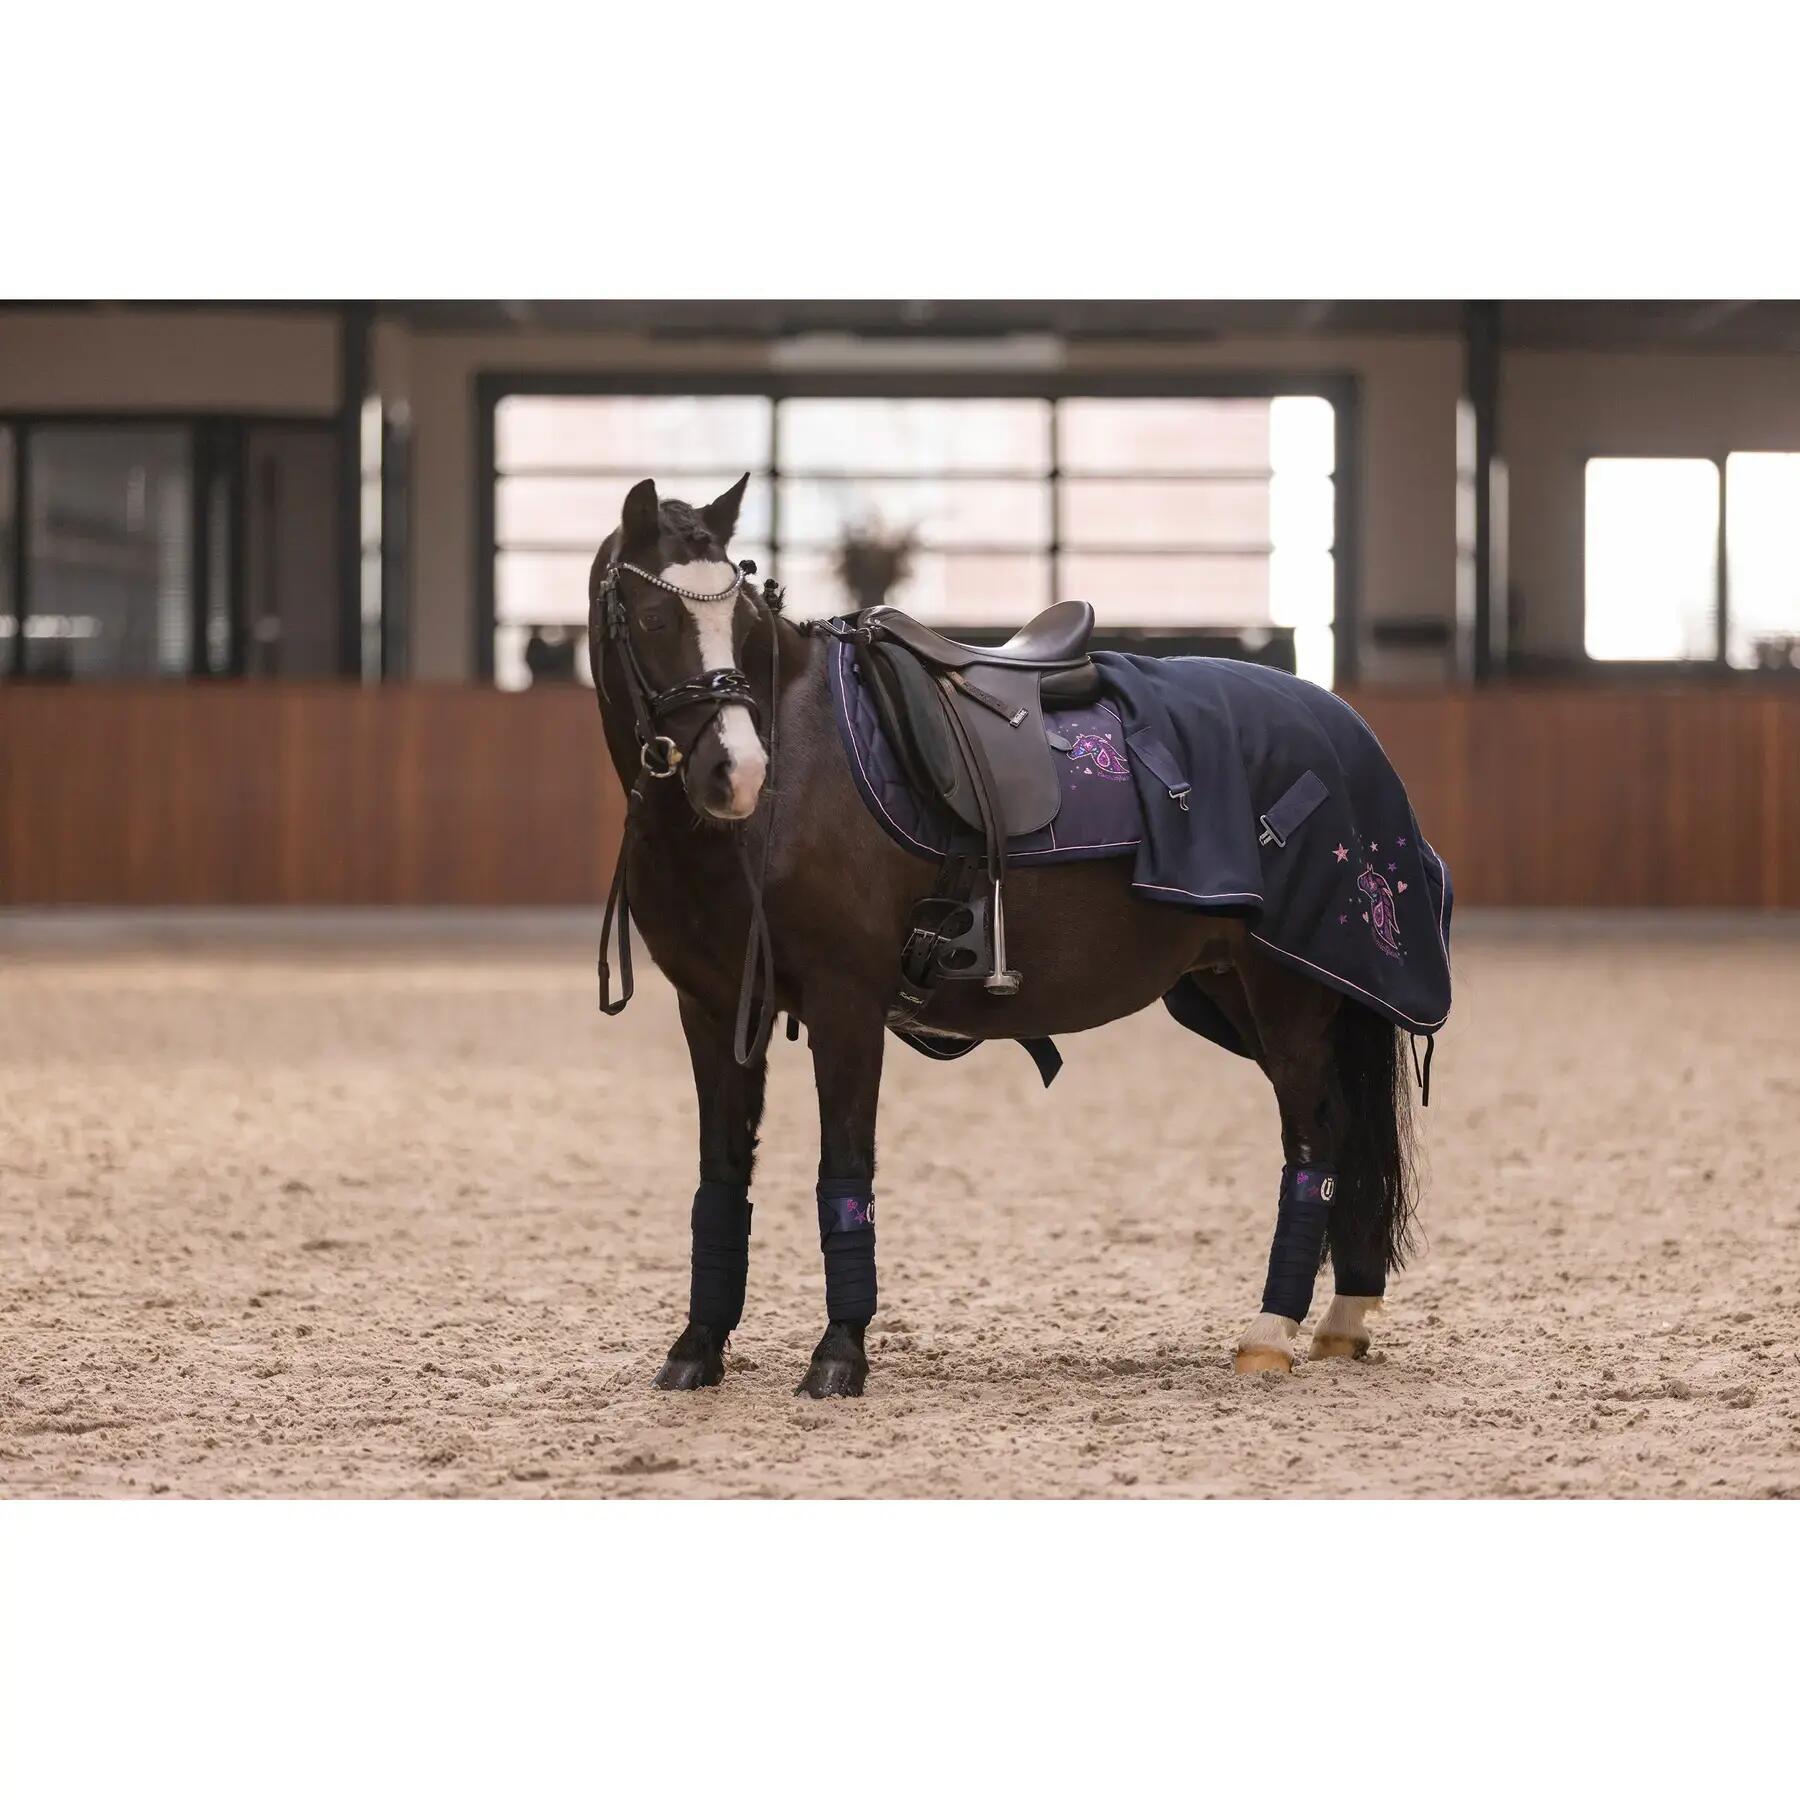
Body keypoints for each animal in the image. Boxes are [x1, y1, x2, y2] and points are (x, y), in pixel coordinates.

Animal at [590, 474, 1421, 1398]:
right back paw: (1344, 1317)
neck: (796, 778)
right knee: (1345, 1136)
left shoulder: (846, 1006)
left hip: (1290, 993)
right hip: (1245, 990)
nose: (736, 772)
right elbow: (722, 1174)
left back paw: (1270, 1330)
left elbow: (844, 1170)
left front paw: (839, 1352)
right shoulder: (713, 1008)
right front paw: (698, 1346)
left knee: (1314, 1141)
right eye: (653, 619)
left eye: (737, 620)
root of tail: (1336, 719)